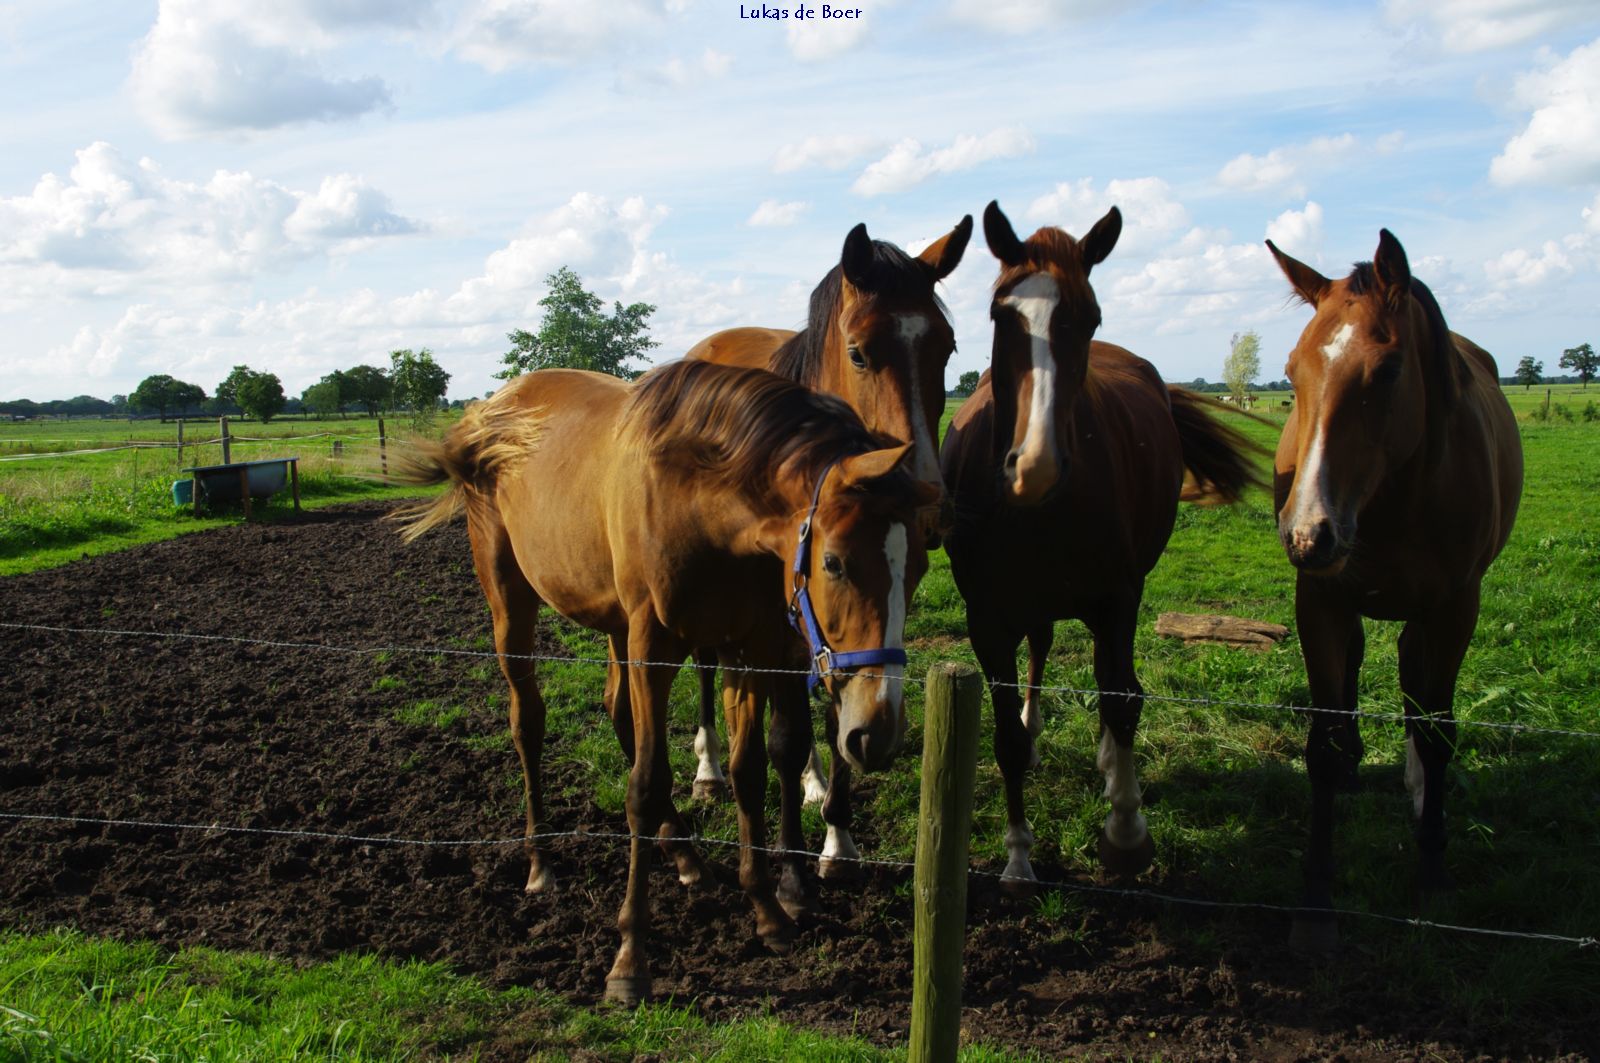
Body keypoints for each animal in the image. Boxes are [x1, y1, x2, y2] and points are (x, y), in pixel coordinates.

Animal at [397, 358, 934, 1003]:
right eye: (834, 563)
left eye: (919, 567)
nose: (877, 733)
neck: (699, 498)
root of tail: (487, 414)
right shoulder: (653, 647)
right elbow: (645, 785)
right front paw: (630, 958)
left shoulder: (747, 646)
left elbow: (747, 771)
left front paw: (767, 912)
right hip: (512, 606)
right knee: (529, 724)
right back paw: (542, 862)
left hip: (613, 623)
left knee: (617, 712)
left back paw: (686, 858)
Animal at [670, 217, 972, 880]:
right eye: (858, 352)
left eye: (946, 349)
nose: (931, 504)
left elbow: (837, 716)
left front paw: (838, 835)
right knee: (705, 666)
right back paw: (707, 767)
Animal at [941, 201, 1264, 890]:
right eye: (1000, 315)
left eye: (1088, 318)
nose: (1034, 467)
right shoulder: (987, 620)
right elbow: (1006, 738)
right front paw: (1018, 856)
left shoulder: (1118, 598)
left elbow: (1121, 698)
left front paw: (1126, 834)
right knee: (1043, 650)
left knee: (1116, 685)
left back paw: (1115, 770)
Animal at [1265, 230, 1522, 948]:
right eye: (1292, 372)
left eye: (1387, 371)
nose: (1306, 532)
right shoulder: (1319, 600)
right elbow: (1322, 741)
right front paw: (1316, 893)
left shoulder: (1456, 606)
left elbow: (1437, 731)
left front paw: (1433, 867)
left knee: (1417, 688)